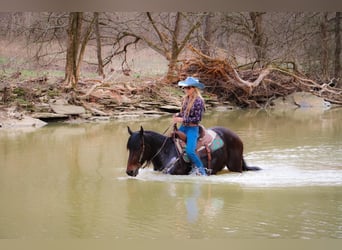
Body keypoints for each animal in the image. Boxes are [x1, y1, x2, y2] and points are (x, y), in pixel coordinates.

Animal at [125, 126, 262, 177]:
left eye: (139, 146)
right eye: (129, 148)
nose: (129, 171)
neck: (167, 152)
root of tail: (237, 138)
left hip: (235, 167)